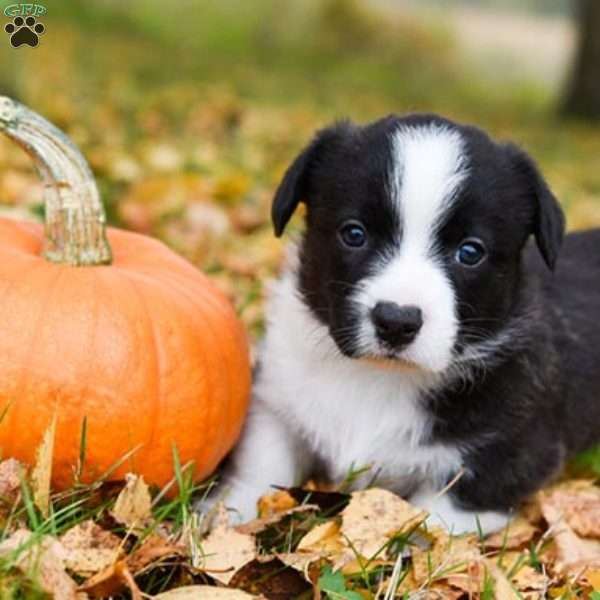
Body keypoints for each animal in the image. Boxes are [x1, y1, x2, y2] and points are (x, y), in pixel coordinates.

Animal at [210, 112, 600, 536]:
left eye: (470, 252)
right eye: (354, 233)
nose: (396, 321)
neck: (378, 378)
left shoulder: (508, 454)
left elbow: (433, 522)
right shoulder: (278, 399)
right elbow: (262, 465)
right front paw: (226, 514)